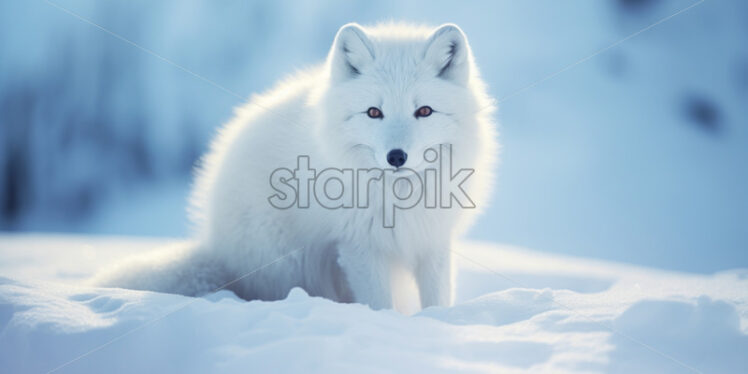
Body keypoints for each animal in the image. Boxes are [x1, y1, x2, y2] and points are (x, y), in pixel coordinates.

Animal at [96, 22, 500, 310]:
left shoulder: (432, 240)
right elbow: (379, 304)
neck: (399, 198)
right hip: (291, 262)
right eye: (374, 112)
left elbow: (438, 299)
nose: (396, 157)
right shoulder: (359, 247)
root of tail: (217, 245)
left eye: (424, 111)